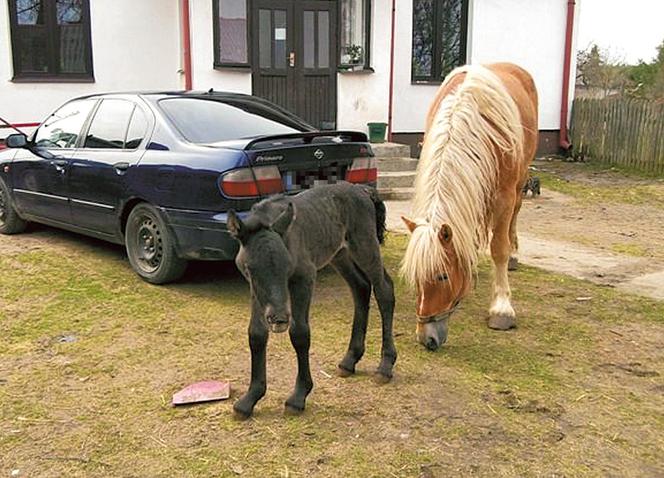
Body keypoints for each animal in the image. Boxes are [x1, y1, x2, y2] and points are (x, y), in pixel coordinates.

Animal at [226, 183, 396, 418]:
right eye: (250, 269)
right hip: (340, 255)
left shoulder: (304, 277)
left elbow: (299, 333)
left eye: (287, 265)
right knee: (360, 288)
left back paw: (385, 366)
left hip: (365, 246)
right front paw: (249, 399)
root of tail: (362, 190)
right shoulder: (256, 291)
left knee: (384, 290)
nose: (279, 319)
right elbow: (256, 334)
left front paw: (298, 397)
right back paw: (349, 360)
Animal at [402, 61, 536, 350]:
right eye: (415, 277)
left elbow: (499, 248)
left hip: (520, 182)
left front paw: (501, 308)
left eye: (442, 276)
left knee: (515, 216)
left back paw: (514, 254)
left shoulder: (504, 196)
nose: (427, 339)